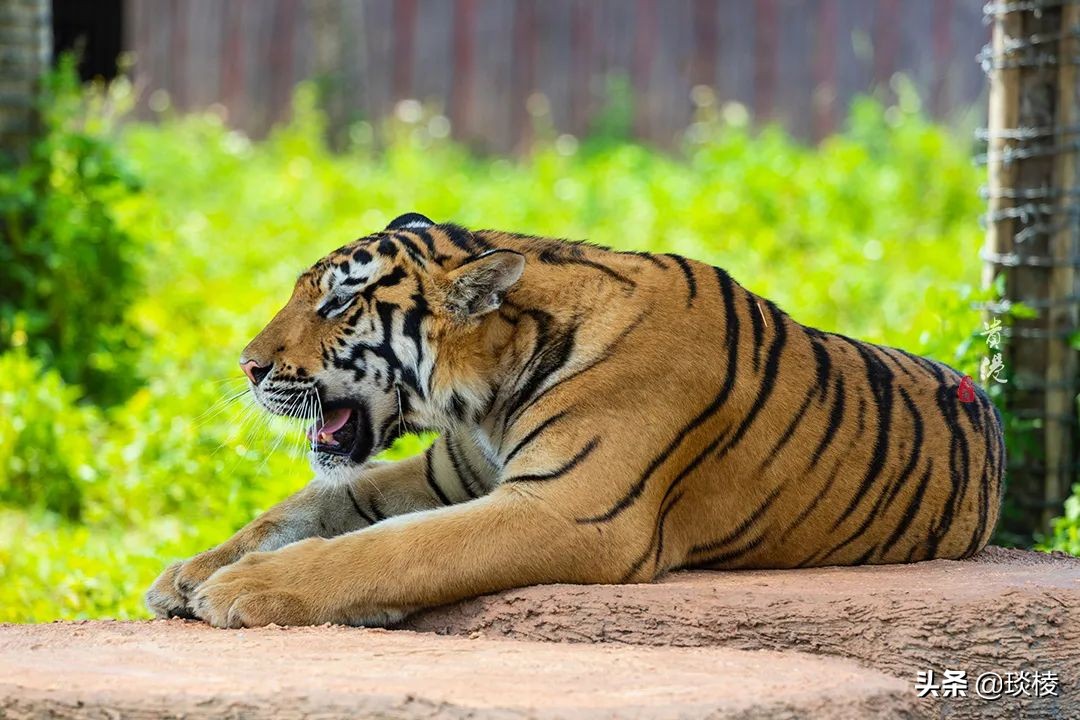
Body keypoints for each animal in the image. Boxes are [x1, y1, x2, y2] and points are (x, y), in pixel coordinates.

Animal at [143, 211, 1002, 626]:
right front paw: (191, 571)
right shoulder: (444, 473)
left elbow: (392, 547)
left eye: (338, 304)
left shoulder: (569, 508)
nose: (247, 367)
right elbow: (314, 502)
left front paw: (244, 588)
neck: (489, 392)